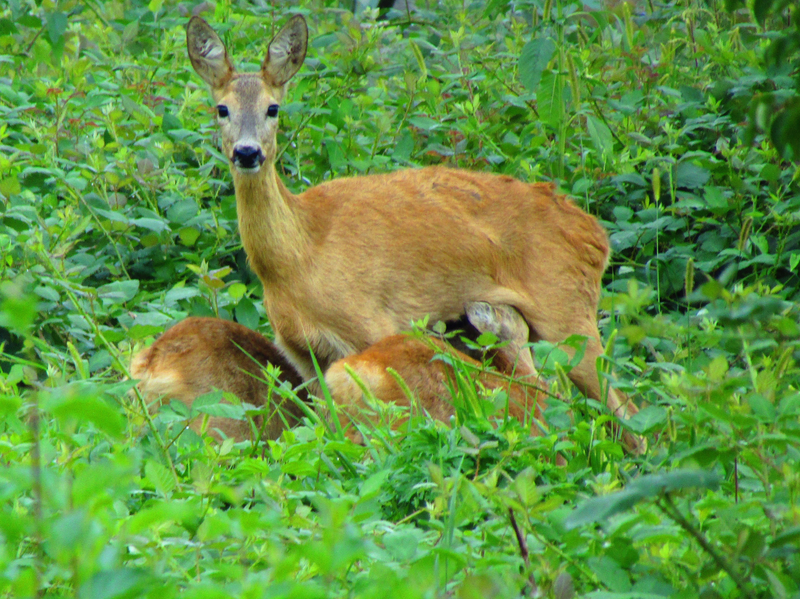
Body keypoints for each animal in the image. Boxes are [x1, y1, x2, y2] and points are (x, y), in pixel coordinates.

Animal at [184, 15, 640, 450]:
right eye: (221, 109)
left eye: (273, 108)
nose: (247, 153)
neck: (299, 257)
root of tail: (595, 234)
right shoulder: (300, 351)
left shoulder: (374, 321)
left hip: (567, 309)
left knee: (629, 414)